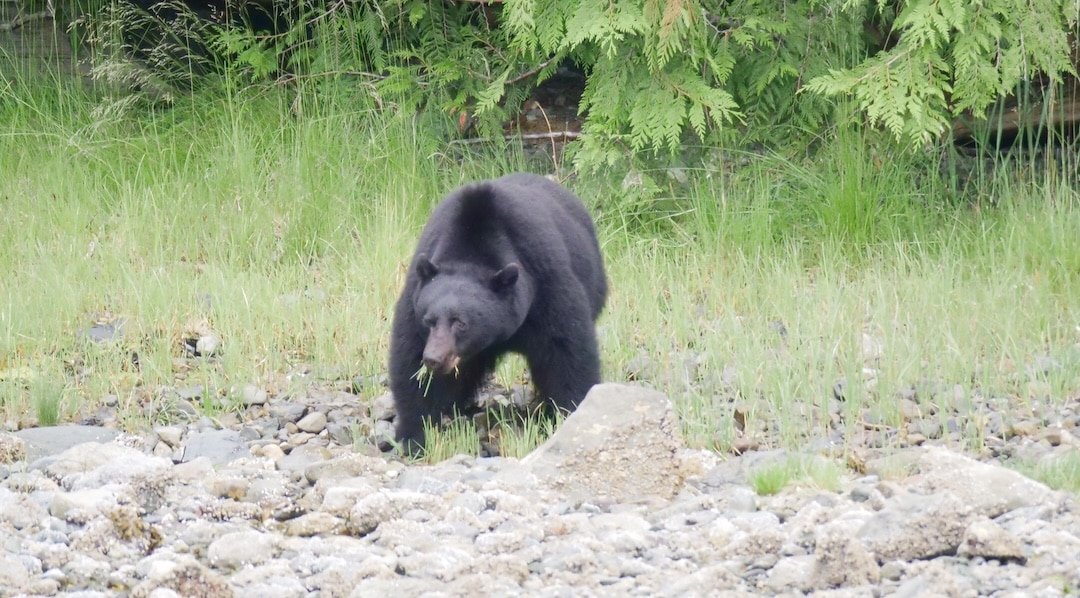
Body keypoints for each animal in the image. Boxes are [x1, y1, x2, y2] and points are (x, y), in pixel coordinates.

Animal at [387, 173, 607, 455]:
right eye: (429, 321)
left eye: (460, 323)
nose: (434, 358)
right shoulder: (416, 296)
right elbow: (411, 364)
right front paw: (414, 436)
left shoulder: (544, 282)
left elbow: (566, 351)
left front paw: (570, 416)